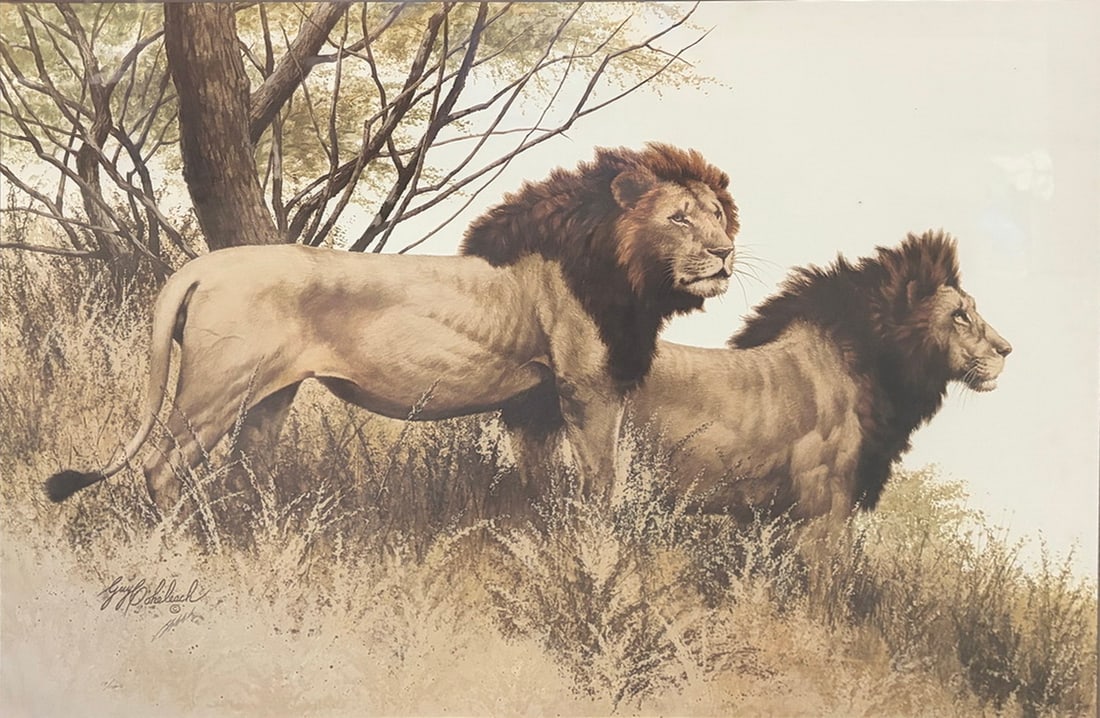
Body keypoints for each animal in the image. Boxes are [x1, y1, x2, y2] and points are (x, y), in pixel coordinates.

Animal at [45, 143, 739, 514]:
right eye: (680, 218)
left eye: (720, 216)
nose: (726, 253)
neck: (620, 273)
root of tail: (202, 265)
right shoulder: (587, 389)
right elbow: (601, 482)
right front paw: (598, 546)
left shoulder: (535, 402)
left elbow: (536, 481)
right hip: (215, 389)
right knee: (162, 466)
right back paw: (186, 542)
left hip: (268, 395)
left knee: (248, 468)